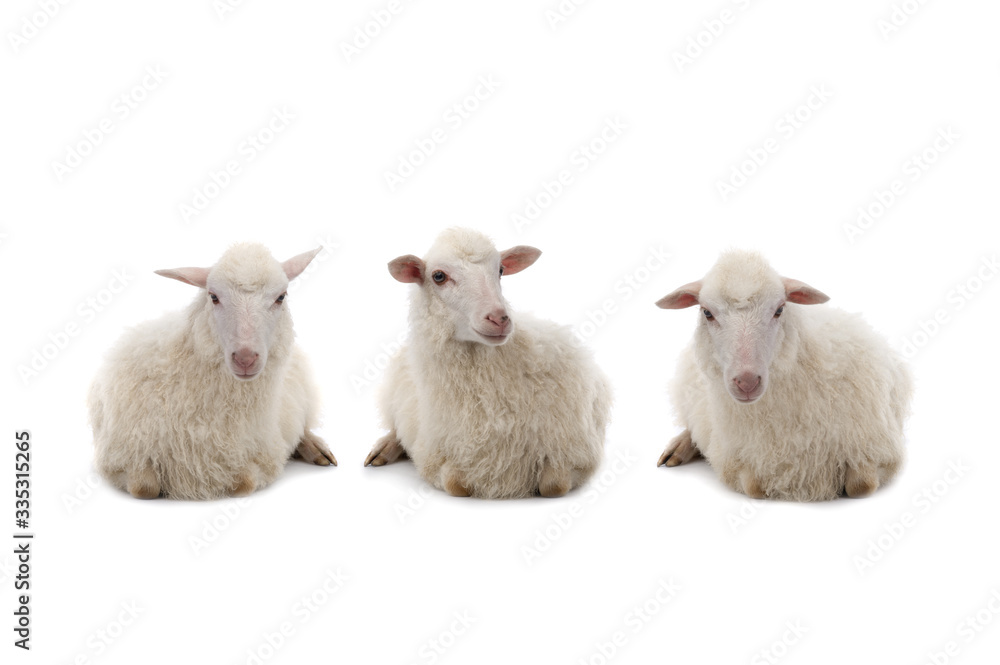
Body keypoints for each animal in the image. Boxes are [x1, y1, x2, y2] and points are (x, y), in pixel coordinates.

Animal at [88, 243, 335, 500]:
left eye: (280, 297)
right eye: (214, 297)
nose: (245, 358)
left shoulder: (261, 454)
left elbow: (244, 484)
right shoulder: (119, 453)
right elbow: (145, 488)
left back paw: (315, 448)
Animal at [364, 228, 612, 499]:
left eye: (501, 270)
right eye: (438, 276)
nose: (499, 318)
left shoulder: (579, 450)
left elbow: (553, 486)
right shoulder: (436, 455)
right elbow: (456, 484)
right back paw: (383, 449)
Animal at [655, 250, 912, 501]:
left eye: (779, 310)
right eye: (707, 313)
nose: (747, 382)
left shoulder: (877, 445)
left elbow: (862, 485)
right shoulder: (740, 460)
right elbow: (755, 487)